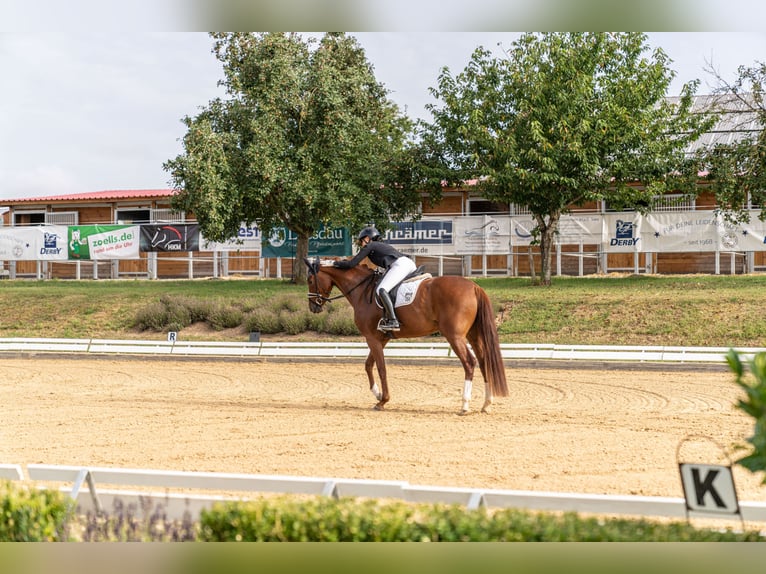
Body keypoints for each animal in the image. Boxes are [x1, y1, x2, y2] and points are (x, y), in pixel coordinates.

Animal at [306, 258, 510, 416]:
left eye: (309, 279)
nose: (313, 307)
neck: (362, 290)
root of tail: (474, 286)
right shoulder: (381, 338)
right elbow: (368, 365)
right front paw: (377, 395)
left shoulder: (372, 338)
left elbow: (381, 368)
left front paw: (383, 400)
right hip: (473, 335)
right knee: (484, 362)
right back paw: (486, 404)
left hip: (455, 336)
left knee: (469, 362)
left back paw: (465, 405)